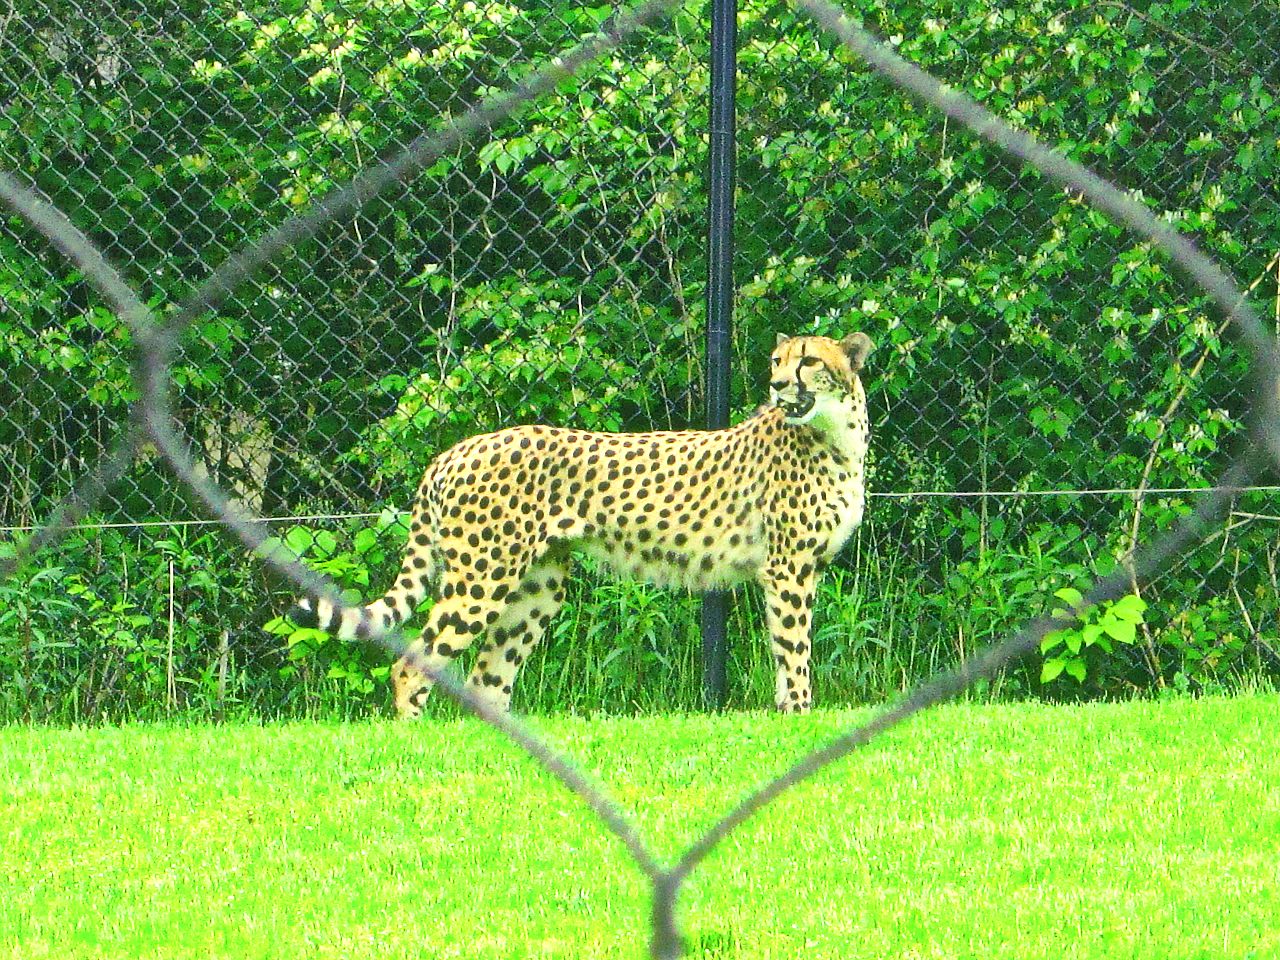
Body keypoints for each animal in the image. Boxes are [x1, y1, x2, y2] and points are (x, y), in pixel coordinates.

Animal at [289, 331, 873, 718]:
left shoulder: (799, 569)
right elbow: (795, 650)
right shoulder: (787, 569)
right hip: (482, 577)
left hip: (538, 588)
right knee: (413, 664)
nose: (776, 385)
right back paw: (415, 738)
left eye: (808, 362)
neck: (837, 434)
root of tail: (453, 450)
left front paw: (789, 713)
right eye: (777, 361)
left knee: (486, 677)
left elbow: (785, 649)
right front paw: (799, 716)